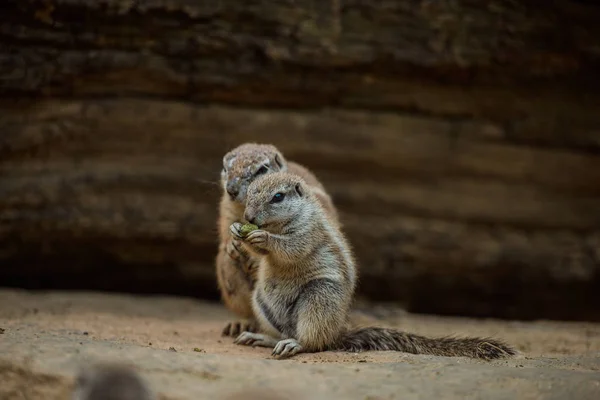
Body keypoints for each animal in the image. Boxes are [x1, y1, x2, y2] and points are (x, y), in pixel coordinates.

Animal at [217, 144, 340, 338]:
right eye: (224, 168)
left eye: (261, 169)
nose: (231, 190)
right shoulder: (226, 207)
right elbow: (224, 226)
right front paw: (231, 243)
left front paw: (255, 258)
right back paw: (242, 324)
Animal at [227, 172, 516, 360]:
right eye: (250, 193)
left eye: (277, 197)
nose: (248, 217)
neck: (280, 224)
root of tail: (336, 333)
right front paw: (236, 233)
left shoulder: (309, 232)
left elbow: (292, 249)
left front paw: (262, 237)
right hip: (261, 302)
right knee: (281, 333)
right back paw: (262, 338)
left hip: (320, 298)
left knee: (313, 342)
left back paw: (294, 345)